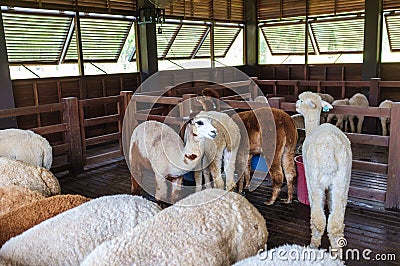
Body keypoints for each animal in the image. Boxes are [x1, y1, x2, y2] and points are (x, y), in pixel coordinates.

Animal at [296, 92, 352, 249]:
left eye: (301, 100)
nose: (295, 105)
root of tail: (329, 149)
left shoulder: (310, 177)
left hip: (316, 181)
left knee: (319, 220)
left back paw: (313, 246)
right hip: (342, 181)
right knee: (336, 223)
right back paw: (336, 253)